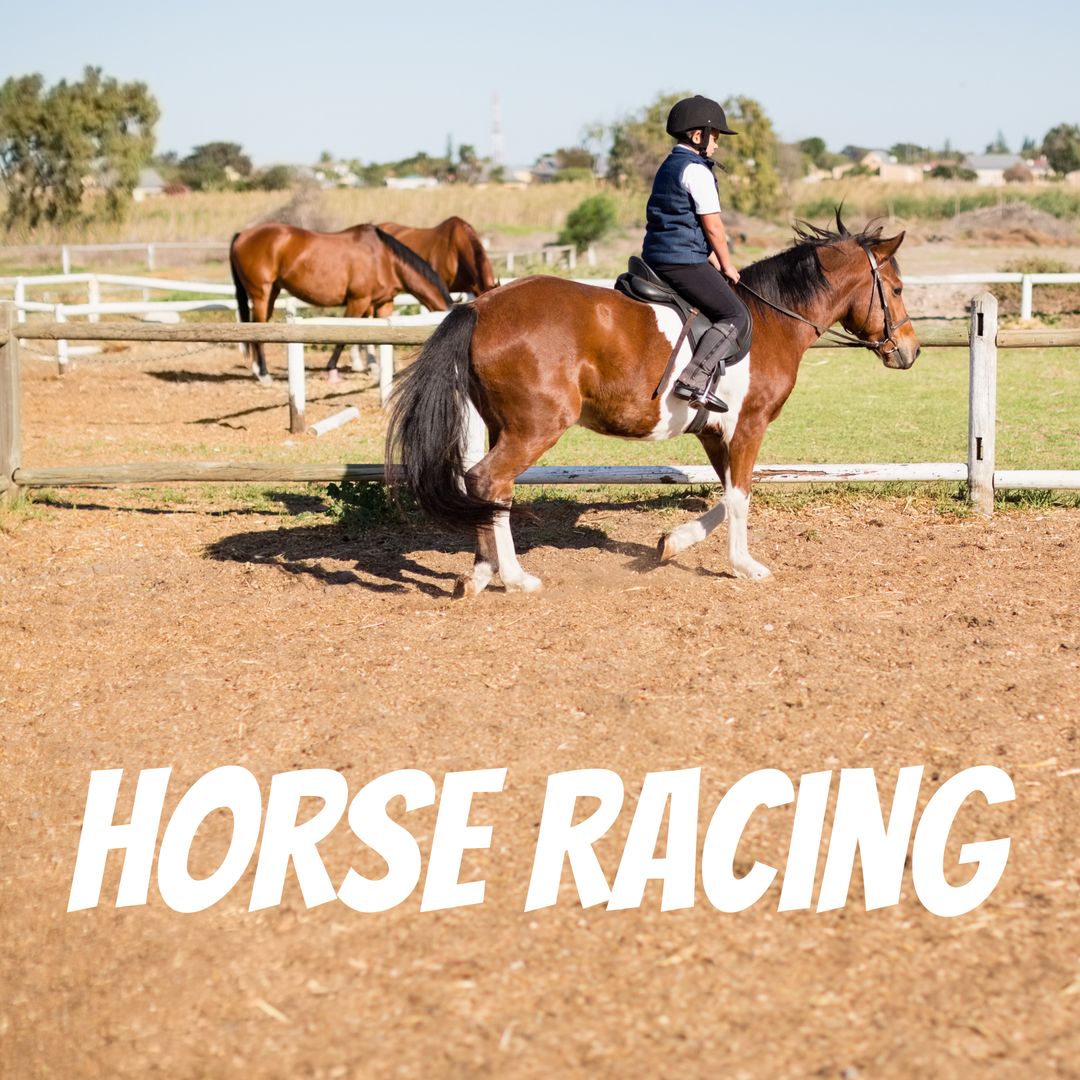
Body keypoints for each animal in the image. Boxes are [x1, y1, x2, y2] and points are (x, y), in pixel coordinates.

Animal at [227, 222, 451, 384]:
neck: (384, 259)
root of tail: (242, 234)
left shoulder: (383, 303)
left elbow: (382, 334)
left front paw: (383, 368)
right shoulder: (358, 301)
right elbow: (346, 335)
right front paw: (333, 368)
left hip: (272, 293)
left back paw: (257, 369)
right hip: (261, 294)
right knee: (257, 328)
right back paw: (264, 375)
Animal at [386, 212, 920, 600]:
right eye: (895, 289)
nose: (909, 352)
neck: (772, 319)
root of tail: (479, 306)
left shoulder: (714, 433)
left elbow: (726, 495)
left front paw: (671, 544)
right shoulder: (748, 427)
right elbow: (741, 497)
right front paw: (743, 566)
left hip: (505, 425)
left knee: (483, 485)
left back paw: (480, 573)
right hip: (536, 427)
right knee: (488, 480)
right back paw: (515, 578)